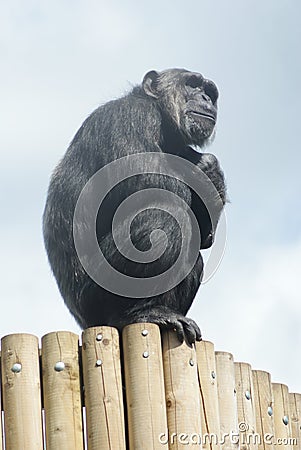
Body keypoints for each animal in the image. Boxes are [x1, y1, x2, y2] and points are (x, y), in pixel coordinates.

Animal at [42, 69, 225, 344]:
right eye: (192, 84)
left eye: (210, 92)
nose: (205, 97)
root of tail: (85, 324)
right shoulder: (128, 117)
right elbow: (151, 183)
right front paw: (206, 169)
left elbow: (205, 238)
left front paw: (212, 175)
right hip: (96, 295)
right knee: (164, 219)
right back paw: (141, 312)